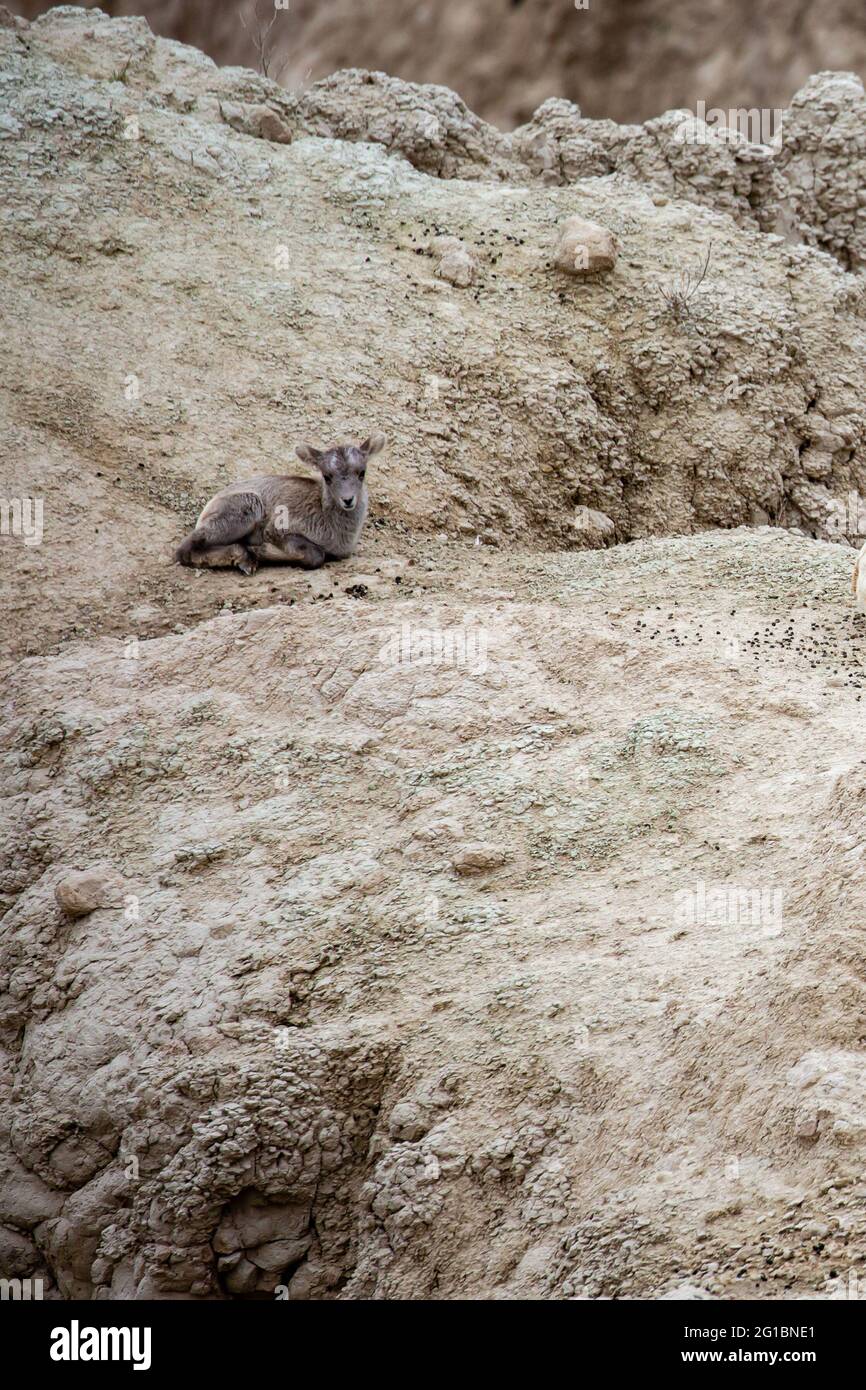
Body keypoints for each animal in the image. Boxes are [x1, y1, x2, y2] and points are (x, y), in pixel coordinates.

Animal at [174, 428, 383, 569]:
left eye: (362, 473)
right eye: (327, 476)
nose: (347, 500)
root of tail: (209, 507)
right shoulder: (278, 530)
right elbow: (316, 555)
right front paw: (262, 551)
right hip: (247, 507)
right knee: (184, 549)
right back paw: (244, 558)